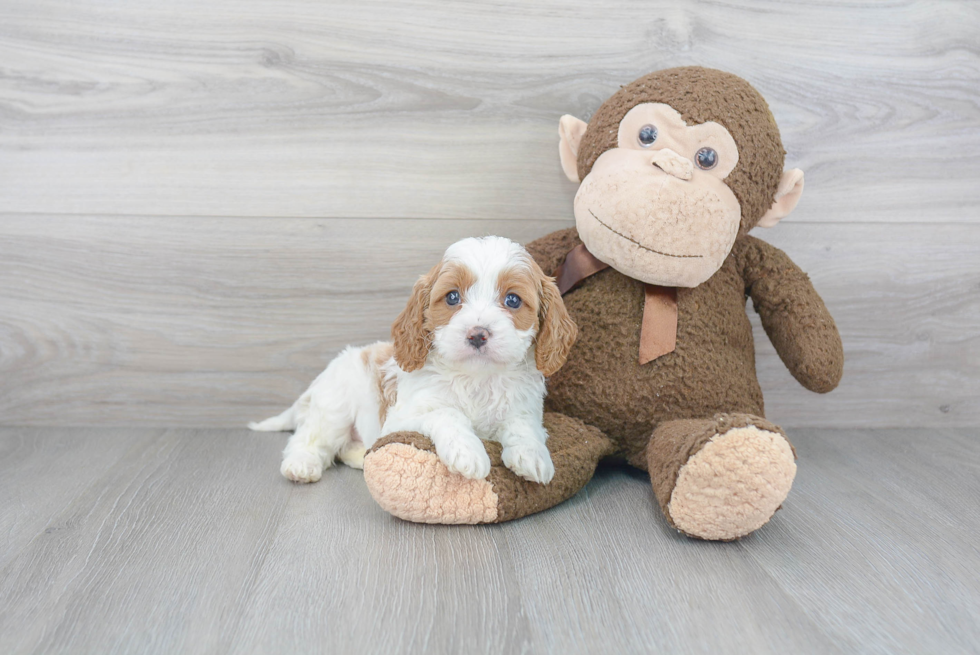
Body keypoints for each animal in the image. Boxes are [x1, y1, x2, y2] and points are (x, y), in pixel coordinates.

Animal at [249, 236, 580, 486]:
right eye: (452, 297)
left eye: (512, 300)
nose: (477, 334)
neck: (475, 377)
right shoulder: (403, 418)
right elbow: (447, 413)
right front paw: (468, 452)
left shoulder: (524, 409)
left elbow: (523, 426)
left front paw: (532, 456)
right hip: (335, 407)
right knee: (309, 438)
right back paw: (301, 464)